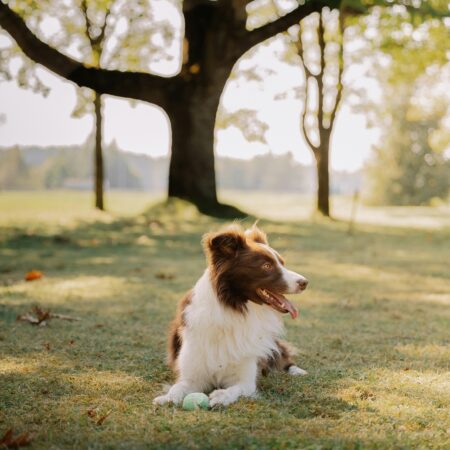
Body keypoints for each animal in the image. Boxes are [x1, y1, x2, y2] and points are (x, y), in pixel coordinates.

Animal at [153, 223, 308, 406]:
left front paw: (220, 396)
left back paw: (297, 371)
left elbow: (235, 389)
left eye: (282, 263)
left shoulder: (246, 380)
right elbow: (178, 387)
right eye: (266, 266)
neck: (234, 310)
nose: (305, 282)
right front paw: (167, 398)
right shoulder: (192, 375)